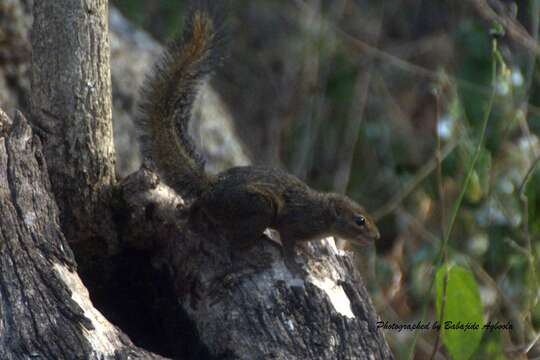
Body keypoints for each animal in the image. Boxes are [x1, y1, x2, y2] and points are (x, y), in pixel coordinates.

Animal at [135, 1, 380, 274]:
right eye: (359, 220)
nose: (376, 236)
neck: (320, 212)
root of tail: (209, 187)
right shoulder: (294, 223)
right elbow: (288, 241)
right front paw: (295, 263)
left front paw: (307, 252)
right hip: (258, 207)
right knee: (235, 241)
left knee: (200, 210)